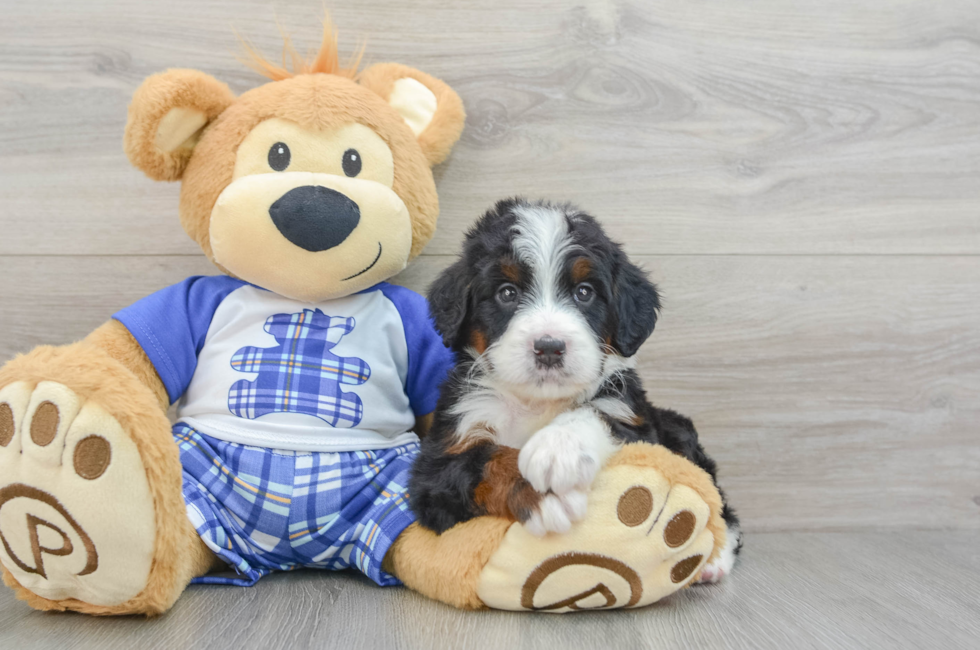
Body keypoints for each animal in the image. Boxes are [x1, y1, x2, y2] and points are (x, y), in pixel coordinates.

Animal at [410, 197, 740, 584]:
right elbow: (485, 460)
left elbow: (594, 412)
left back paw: (715, 557)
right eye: (507, 293)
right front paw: (540, 493)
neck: (536, 403)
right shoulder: (438, 463)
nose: (549, 347)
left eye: (584, 292)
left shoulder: (636, 422)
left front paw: (558, 449)